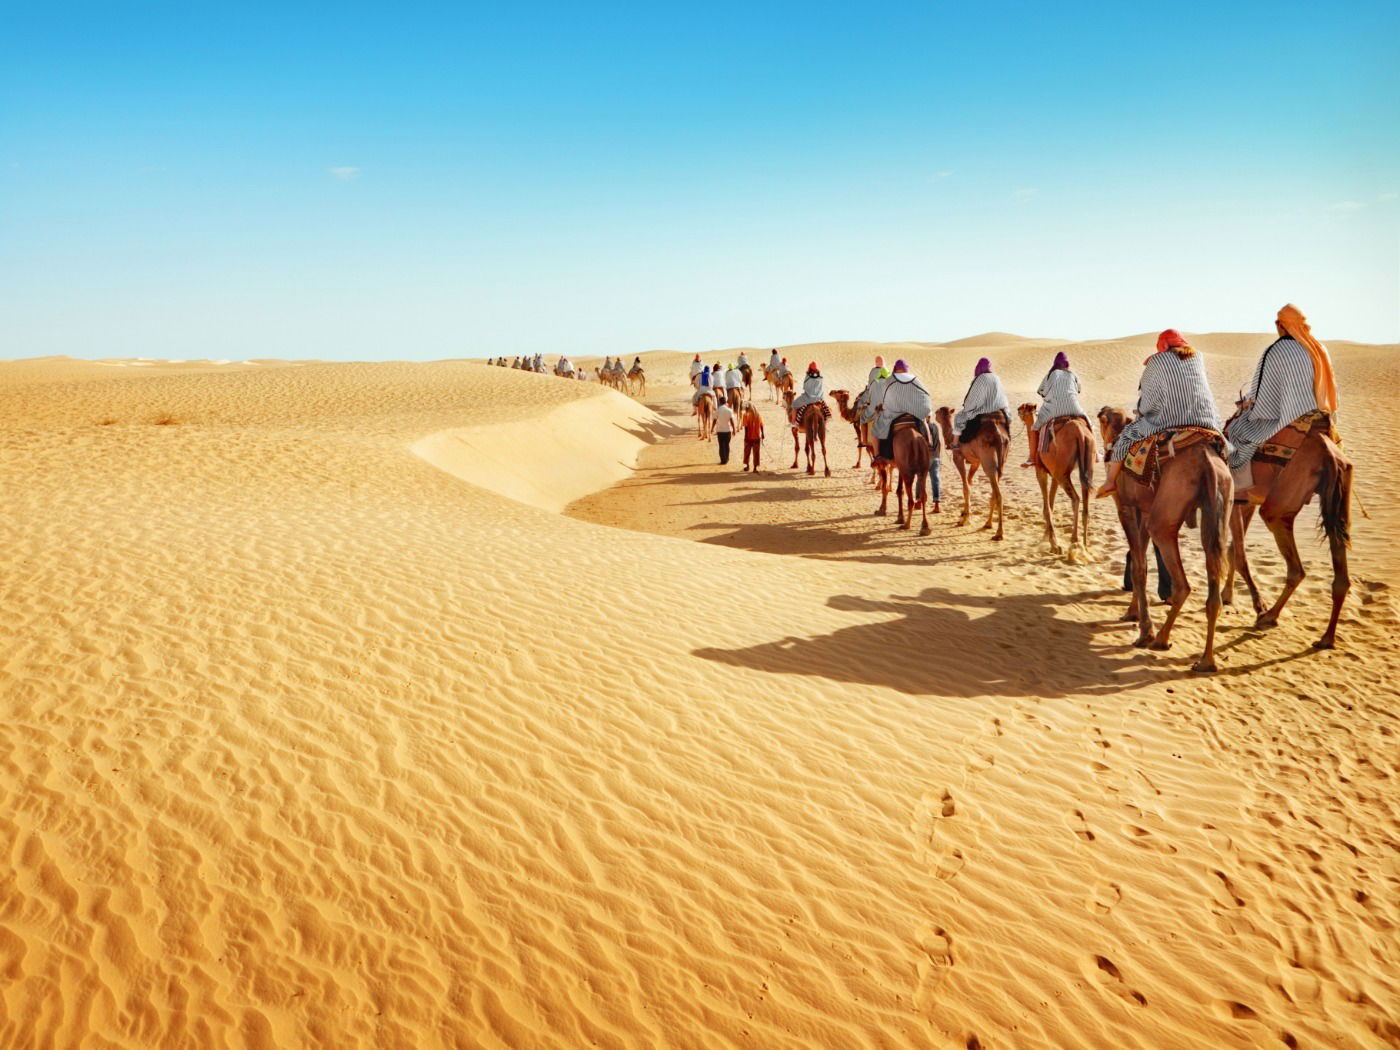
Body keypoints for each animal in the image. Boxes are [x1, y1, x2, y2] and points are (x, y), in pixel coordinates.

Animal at [929, 406, 1008, 543]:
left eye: (938, 412)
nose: (934, 415)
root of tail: (998, 435)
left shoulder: (958, 458)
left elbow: (965, 487)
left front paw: (963, 520)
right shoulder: (975, 462)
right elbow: (969, 483)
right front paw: (964, 512)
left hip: (987, 459)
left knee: (998, 493)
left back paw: (999, 533)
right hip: (1001, 460)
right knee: (994, 490)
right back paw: (988, 524)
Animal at [1019, 403, 1092, 560]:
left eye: (1022, 408)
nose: (1017, 411)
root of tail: (1080, 433)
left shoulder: (1042, 471)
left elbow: (1047, 507)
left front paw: (1054, 545)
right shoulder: (1053, 475)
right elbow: (1051, 505)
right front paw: (1046, 537)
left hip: (1062, 472)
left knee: (1076, 499)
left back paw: (1074, 541)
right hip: (1086, 467)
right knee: (1086, 504)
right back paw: (1085, 546)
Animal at [1097, 406, 1232, 669]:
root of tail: (1207, 462)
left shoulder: (1126, 507)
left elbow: (1139, 567)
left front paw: (1144, 631)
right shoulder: (1145, 508)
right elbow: (1140, 562)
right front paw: (1132, 613)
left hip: (1166, 510)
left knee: (1182, 584)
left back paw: (1160, 639)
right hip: (1219, 502)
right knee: (1212, 577)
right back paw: (1206, 661)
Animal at [1220, 408, 1349, 649]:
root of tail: (1328, 450)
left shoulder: (1237, 499)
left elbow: (1239, 555)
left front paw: (1257, 604)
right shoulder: (1246, 501)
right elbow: (1233, 551)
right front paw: (1228, 596)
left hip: (1278, 510)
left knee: (1296, 569)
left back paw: (1269, 616)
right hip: (1338, 500)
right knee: (1341, 578)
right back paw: (1326, 638)